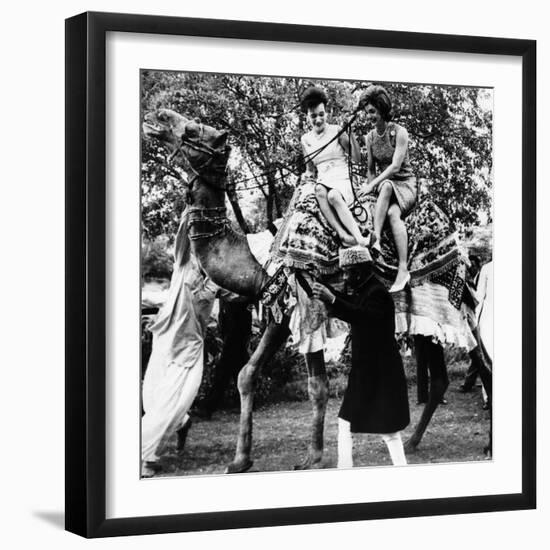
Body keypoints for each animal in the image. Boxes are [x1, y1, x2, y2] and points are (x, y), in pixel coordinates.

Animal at [143, 109, 496, 474]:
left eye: (195, 129)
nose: (157, 116)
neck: (260, 259)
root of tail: (458, 243)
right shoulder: (280, 310)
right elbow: (246, 374)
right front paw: (240, 460)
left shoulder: (306, 304)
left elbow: (317, 386)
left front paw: (312, 458)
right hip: (427, 311)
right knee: (443, 374)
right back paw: (412, 442)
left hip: (450, 300)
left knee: (483, 362)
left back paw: (483, 444)